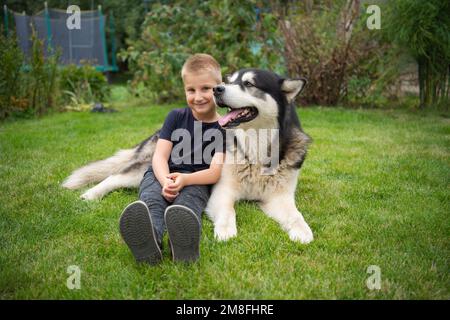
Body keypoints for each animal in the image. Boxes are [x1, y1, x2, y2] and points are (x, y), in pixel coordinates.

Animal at [62, 69, 312, 242]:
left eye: (248, 83)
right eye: (229, 80)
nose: (217, 89)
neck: (255, 152)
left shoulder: (280, 197)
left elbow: (295, 215)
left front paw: (302, 230)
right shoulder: (222, 193)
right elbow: (229, 211)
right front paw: (226, 230)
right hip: (148, 167)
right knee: (114, 177)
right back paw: (90, 195)